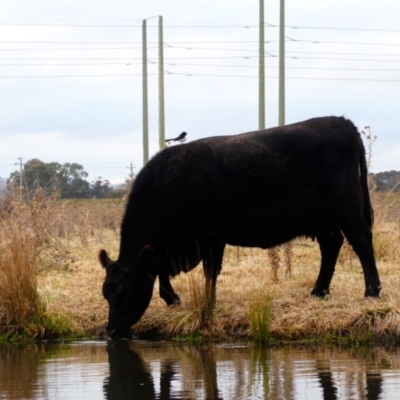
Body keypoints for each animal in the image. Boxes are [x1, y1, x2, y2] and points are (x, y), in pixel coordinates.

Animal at [99, 117, 382, 340]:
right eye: (106, 293)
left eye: (127, 293)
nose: (111, 331)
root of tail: (339, 120)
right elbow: (160, 269)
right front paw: (172, 298)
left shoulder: (212, 237)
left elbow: (209, 272)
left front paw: (207, 307)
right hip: (323, 218)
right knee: (331, 245)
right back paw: (319, 291)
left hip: (347, 207)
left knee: (361, 240)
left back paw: (371, 292)